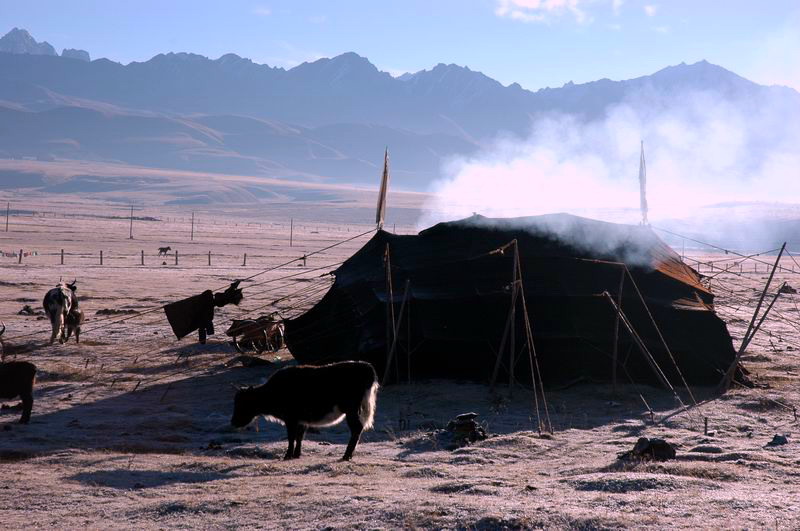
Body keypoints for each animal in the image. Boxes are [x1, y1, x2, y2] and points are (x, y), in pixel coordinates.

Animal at [233, 362, 380, 462]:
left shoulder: (291, 420)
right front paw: (296, 455)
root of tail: (365, 366)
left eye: (243, 404)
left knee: (356, 429)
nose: (233, 423)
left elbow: (291, 437)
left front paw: (287, 456)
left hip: (351, 411)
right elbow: (299, 437)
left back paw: (346, 456)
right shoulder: (300, 420)